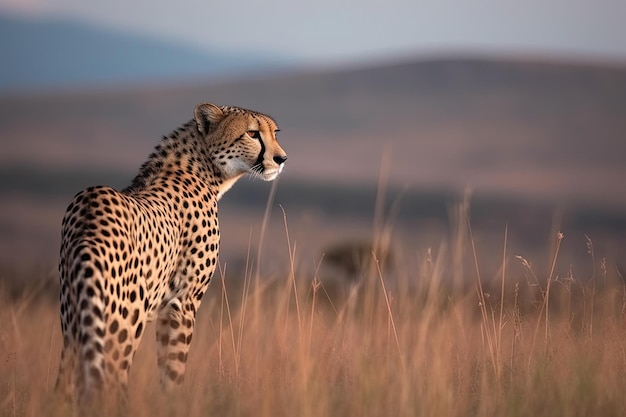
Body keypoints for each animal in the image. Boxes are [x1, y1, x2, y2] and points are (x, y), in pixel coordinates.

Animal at [54, 102, 286, 404]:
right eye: (252, 133)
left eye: (275, 133)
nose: (281, 159)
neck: (204, 169)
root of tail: (90, 207)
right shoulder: (183, 302)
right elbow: (174, 370)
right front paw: (175, 404)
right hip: (122, 324)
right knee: (109, 382)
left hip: (74, 320)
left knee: (66, 384)